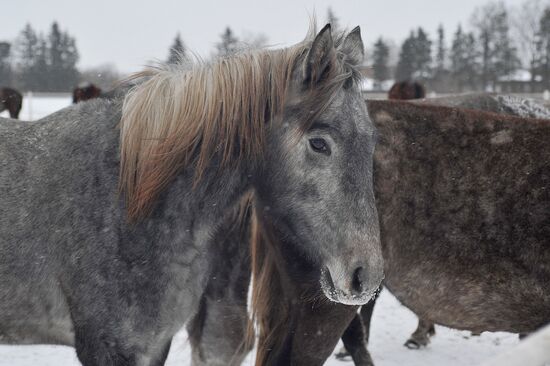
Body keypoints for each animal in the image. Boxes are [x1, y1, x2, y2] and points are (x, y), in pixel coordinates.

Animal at [0, 24, 384, 364]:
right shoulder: (106, 347)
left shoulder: (155, 344)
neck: (129, 200)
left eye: (372, 140)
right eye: (319, 143)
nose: (366, 276)